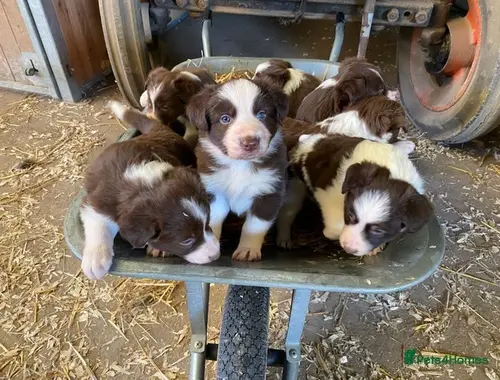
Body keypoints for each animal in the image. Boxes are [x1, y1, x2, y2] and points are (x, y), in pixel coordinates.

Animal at [81, 101, 220, 280]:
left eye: (208, 223)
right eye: (186, 241)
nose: (216, 255)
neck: (147, 183)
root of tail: (156, 130)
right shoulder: (95, 201)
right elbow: (96, 222)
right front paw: (95, 260)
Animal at [187, 77, 290, 262]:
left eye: (262, 114)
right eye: (225, 119)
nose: (250, 142)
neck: (239, 165)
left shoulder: (269, 192)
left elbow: (254, 225)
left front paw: (247, 249)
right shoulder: (213, 191)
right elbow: (213, 221)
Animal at [276, 134, 432, 255]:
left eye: (378, 230)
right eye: (350, 215)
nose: (348, 248)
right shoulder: (327, 193)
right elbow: (335, 226)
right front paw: (329, 233)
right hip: (295, 187)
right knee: (287, 212)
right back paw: (284, 238)